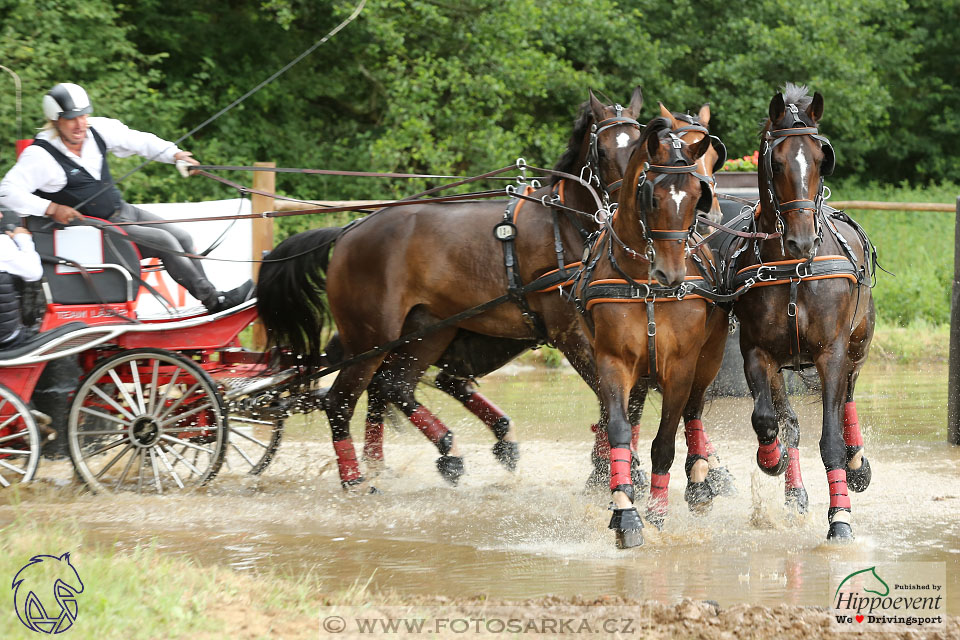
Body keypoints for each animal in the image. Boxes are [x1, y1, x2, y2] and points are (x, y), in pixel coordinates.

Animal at [576, 116, 728, 544]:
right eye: (653, 198)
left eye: (695, 198)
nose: (671, 273)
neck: (645, 283)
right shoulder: (612, 361)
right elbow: (619, 429)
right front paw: (625, 510)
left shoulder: (680, 368)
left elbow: (664, 444)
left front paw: (658, 513)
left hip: (708, 359)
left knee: (694, 413)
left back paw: (699, 481)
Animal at [724, 82, 872, 536]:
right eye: (775, 162)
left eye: (822, 159)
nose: (803, 240)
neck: (792, 269)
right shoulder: (758, 354)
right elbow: (770, 422)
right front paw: (773, 460)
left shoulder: (831, 353)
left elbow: (832, 439)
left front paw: (840, 518)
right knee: (786, 420)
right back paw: (793, 486)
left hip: (857, 346)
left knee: (847, 400)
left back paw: (858, 464)